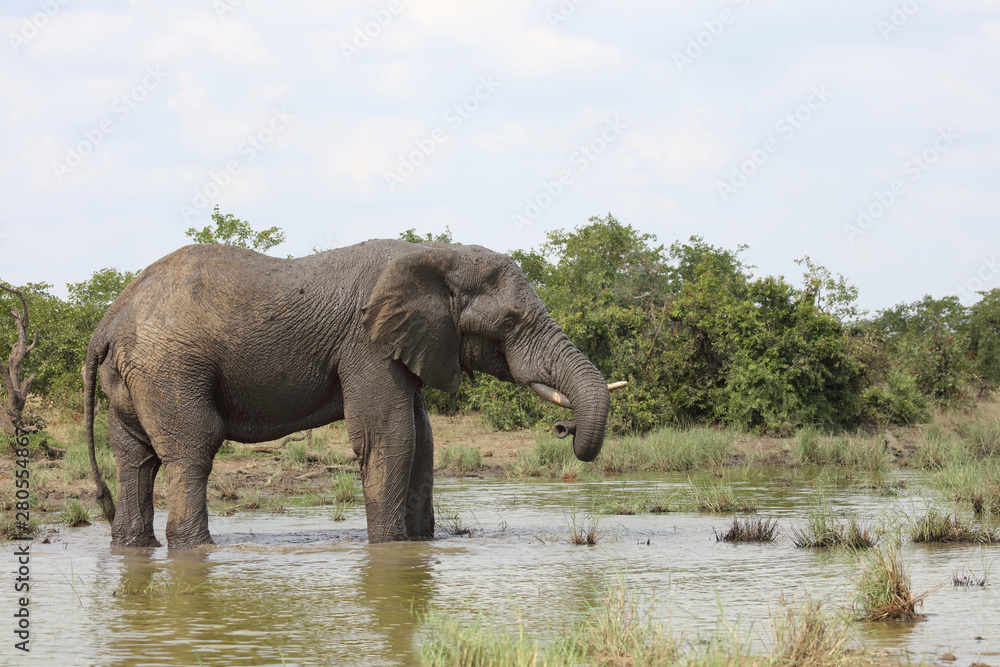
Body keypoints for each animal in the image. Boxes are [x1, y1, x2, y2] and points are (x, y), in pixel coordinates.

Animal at [85, 239, 611, 548]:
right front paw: (390, 549)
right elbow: (390, 437)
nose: (564, 427)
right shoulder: (367, 344)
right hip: (169, 366)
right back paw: (194, 548)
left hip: (135, 377)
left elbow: (422, 440)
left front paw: (420, 547)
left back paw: (133, 547)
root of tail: (107, 322)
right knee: (192, 448)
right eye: (509, 322)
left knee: (134, 458)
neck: (437, 255)